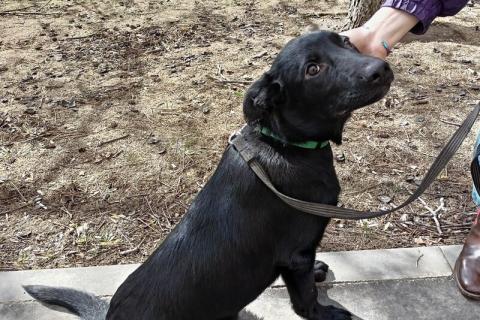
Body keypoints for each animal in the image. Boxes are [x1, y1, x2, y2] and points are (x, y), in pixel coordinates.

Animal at [23, 30, 394, 320]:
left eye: (345, 41)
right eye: (313, 69)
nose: (381, 68)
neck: (285, 143)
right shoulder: (296, 255)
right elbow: (305, 301)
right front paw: (328, 313)